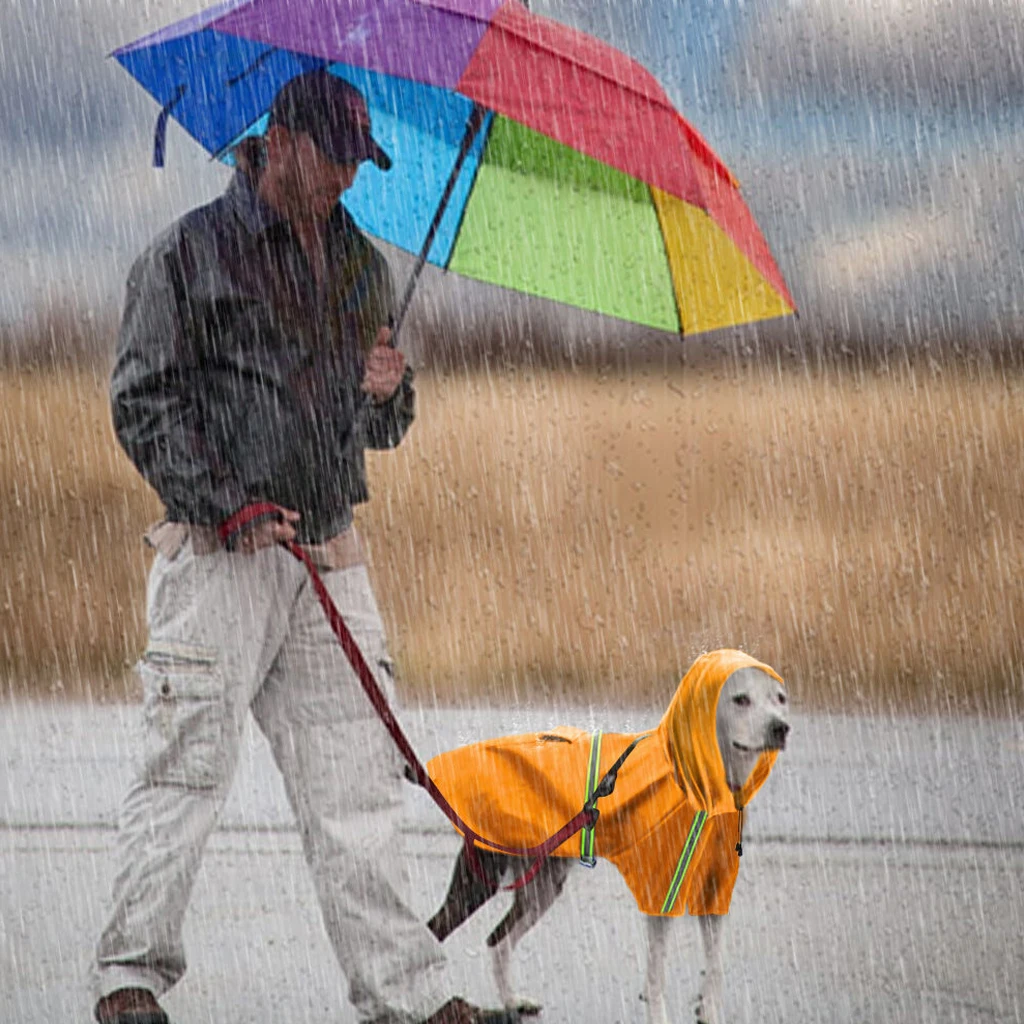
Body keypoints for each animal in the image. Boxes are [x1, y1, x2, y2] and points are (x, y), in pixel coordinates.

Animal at [419, 651, 786, 1019]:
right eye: (741, 699)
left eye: (780, 699)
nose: (780, 728)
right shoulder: (660, 896)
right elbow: (657, 978)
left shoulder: (714, 891)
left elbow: (715, 965)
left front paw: (707, 1010)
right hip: (480, 881)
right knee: (434, 932)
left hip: (542, 888)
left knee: (497, 940)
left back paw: (513, 1001)